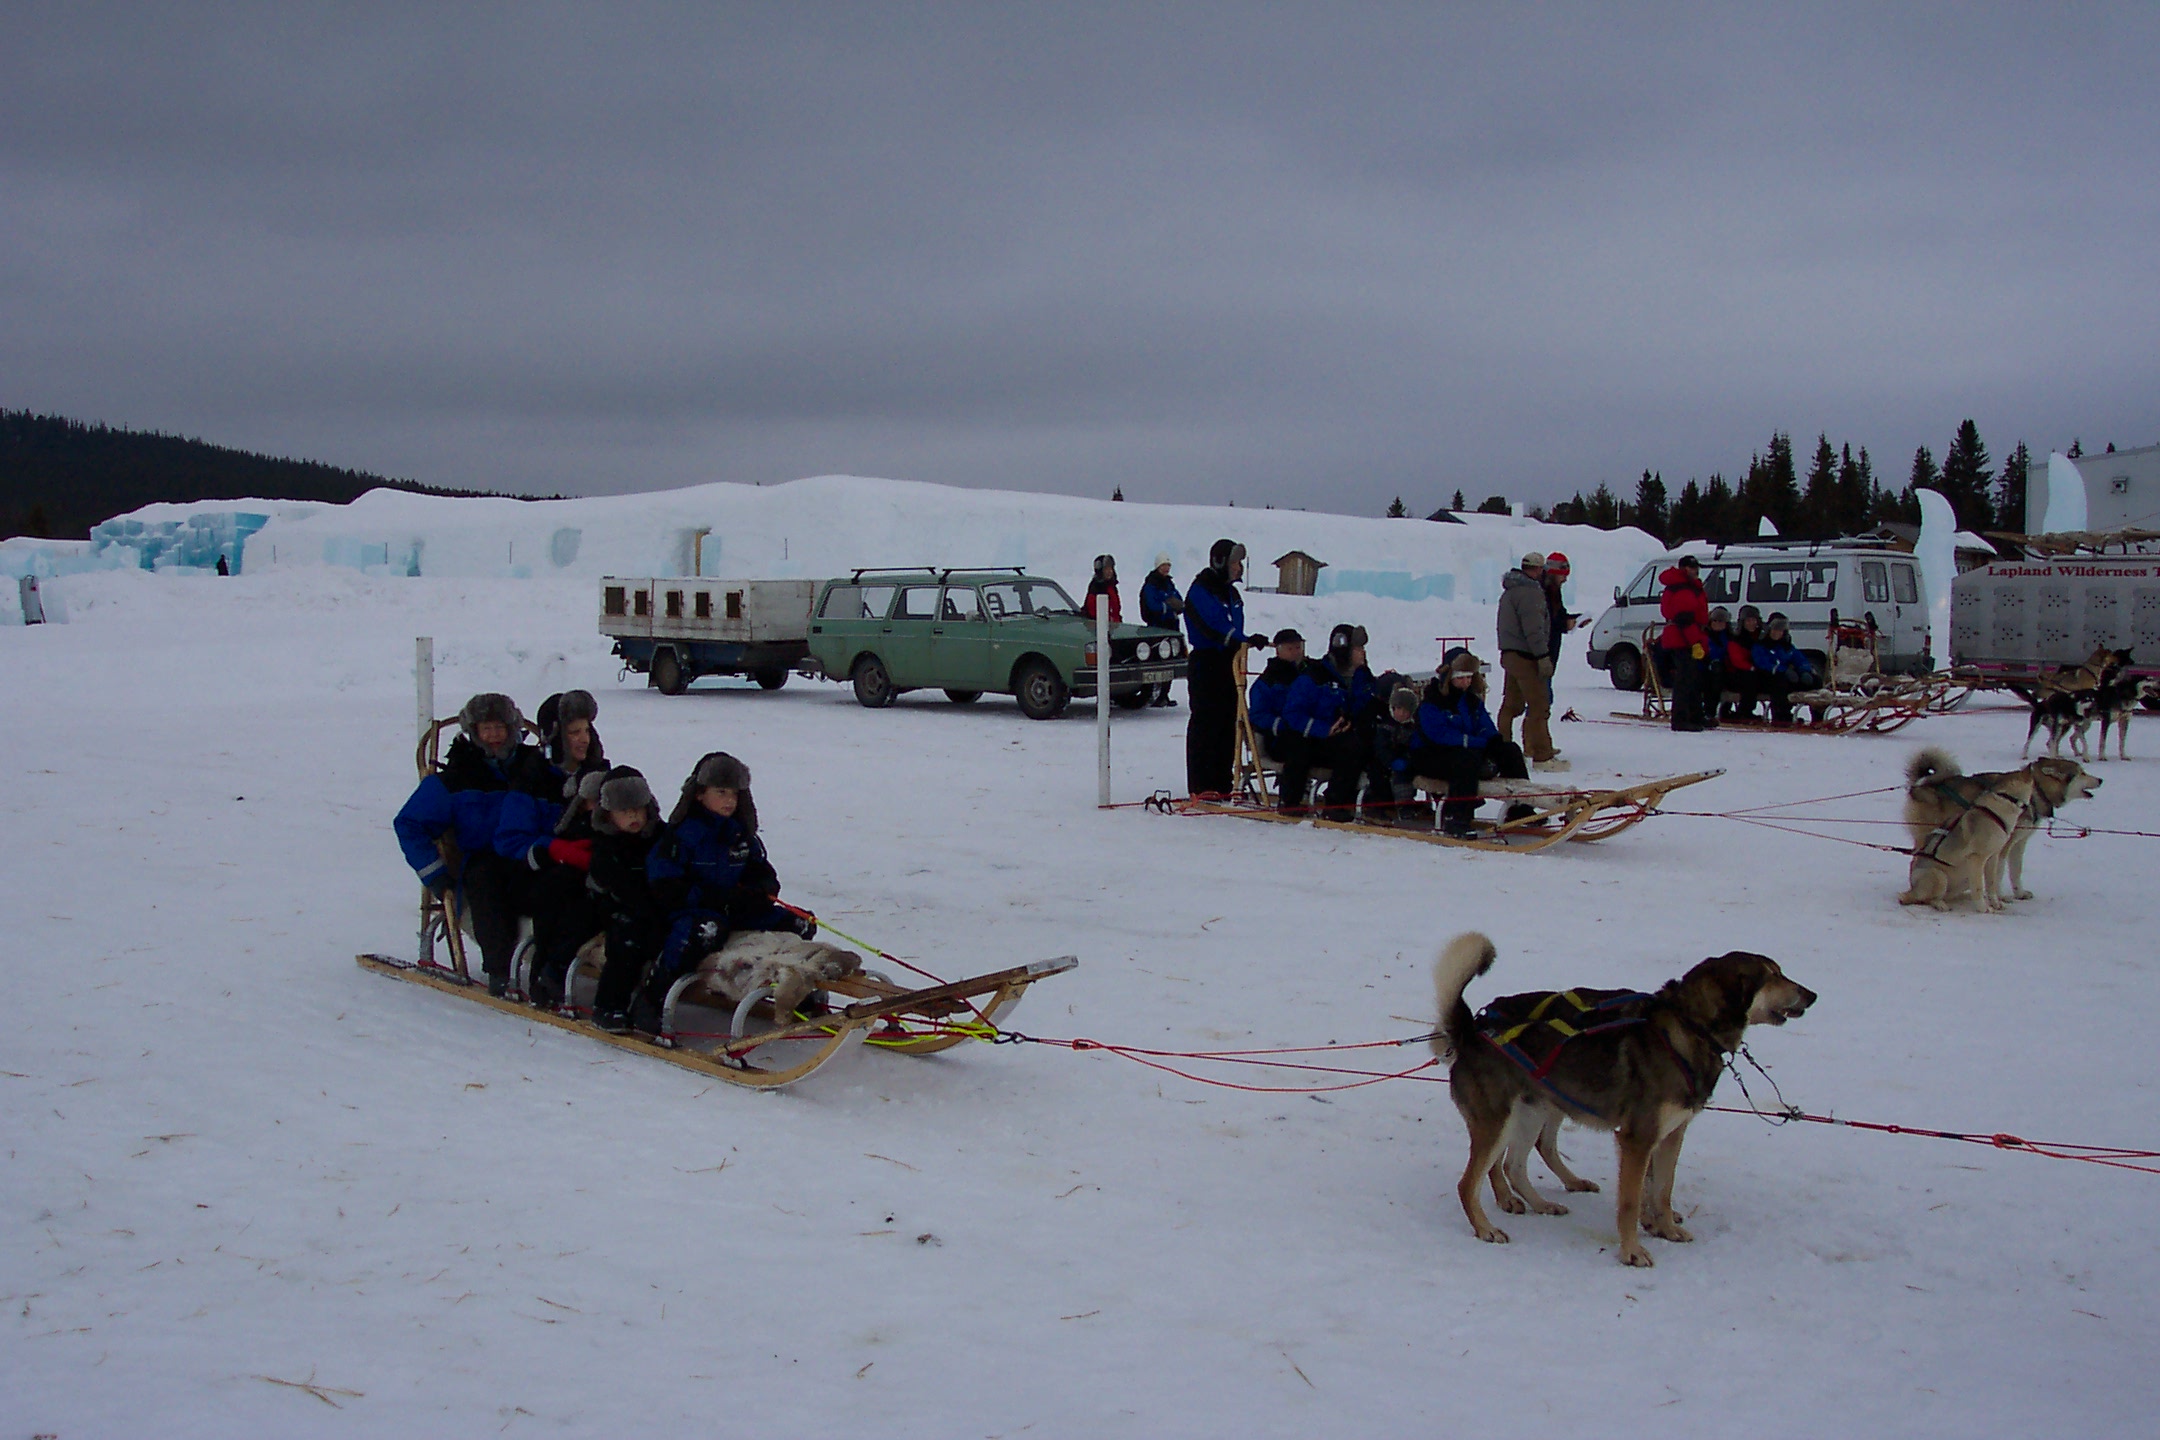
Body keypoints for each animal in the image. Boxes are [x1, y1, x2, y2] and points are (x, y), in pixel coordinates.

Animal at [1442, 936, 1814, 1260]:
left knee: (1515, 1166)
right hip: (1498, 1123)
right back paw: (1486, 1228)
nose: (1812, 994)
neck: (1687, 1031)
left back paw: (1541, 1204)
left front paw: (1666, 1229)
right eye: (1773, 975)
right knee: (1468, 1183)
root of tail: (1472, 1031)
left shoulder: (1671, 1135)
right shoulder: (1638, 1139)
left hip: (1531, 1113)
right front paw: (1632, 1251)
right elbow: (1632, 1201)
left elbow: (1662, 1190)